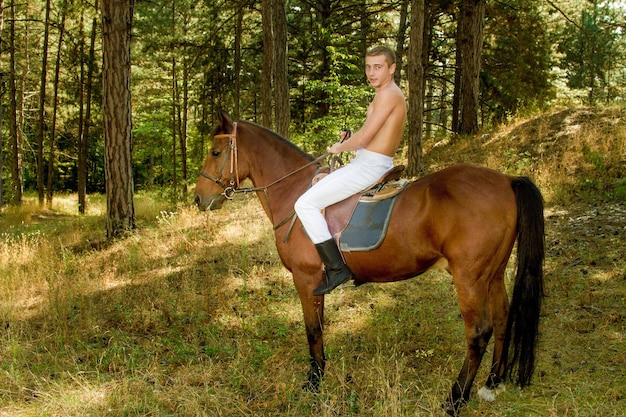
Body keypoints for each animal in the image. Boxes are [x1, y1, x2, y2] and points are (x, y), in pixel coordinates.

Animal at [194, 110, 540, 412]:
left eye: (215, 151)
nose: (199, 199)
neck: (294, 193)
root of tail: (506, 180)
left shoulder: (305, 279)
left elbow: (312, 329)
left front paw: (313, 381)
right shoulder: (316, 284)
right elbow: (319, 326)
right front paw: (320, 373)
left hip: (469, 277)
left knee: (478, 332)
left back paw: (455, 399)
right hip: (492, 274)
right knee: (501, 317)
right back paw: (493, 382)